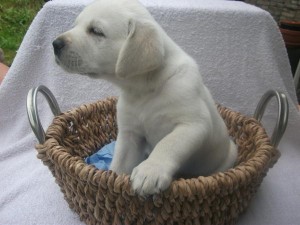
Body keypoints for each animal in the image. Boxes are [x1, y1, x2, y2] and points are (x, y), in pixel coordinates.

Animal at [53, 0, 237, 196]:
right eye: (75, 25)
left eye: (96, 31)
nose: (55, 44)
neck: (143, 89)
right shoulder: (130, 133)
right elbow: (120, 162)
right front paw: (111, 179)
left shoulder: (194, 124)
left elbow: (168, 143)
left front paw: (150, 171)